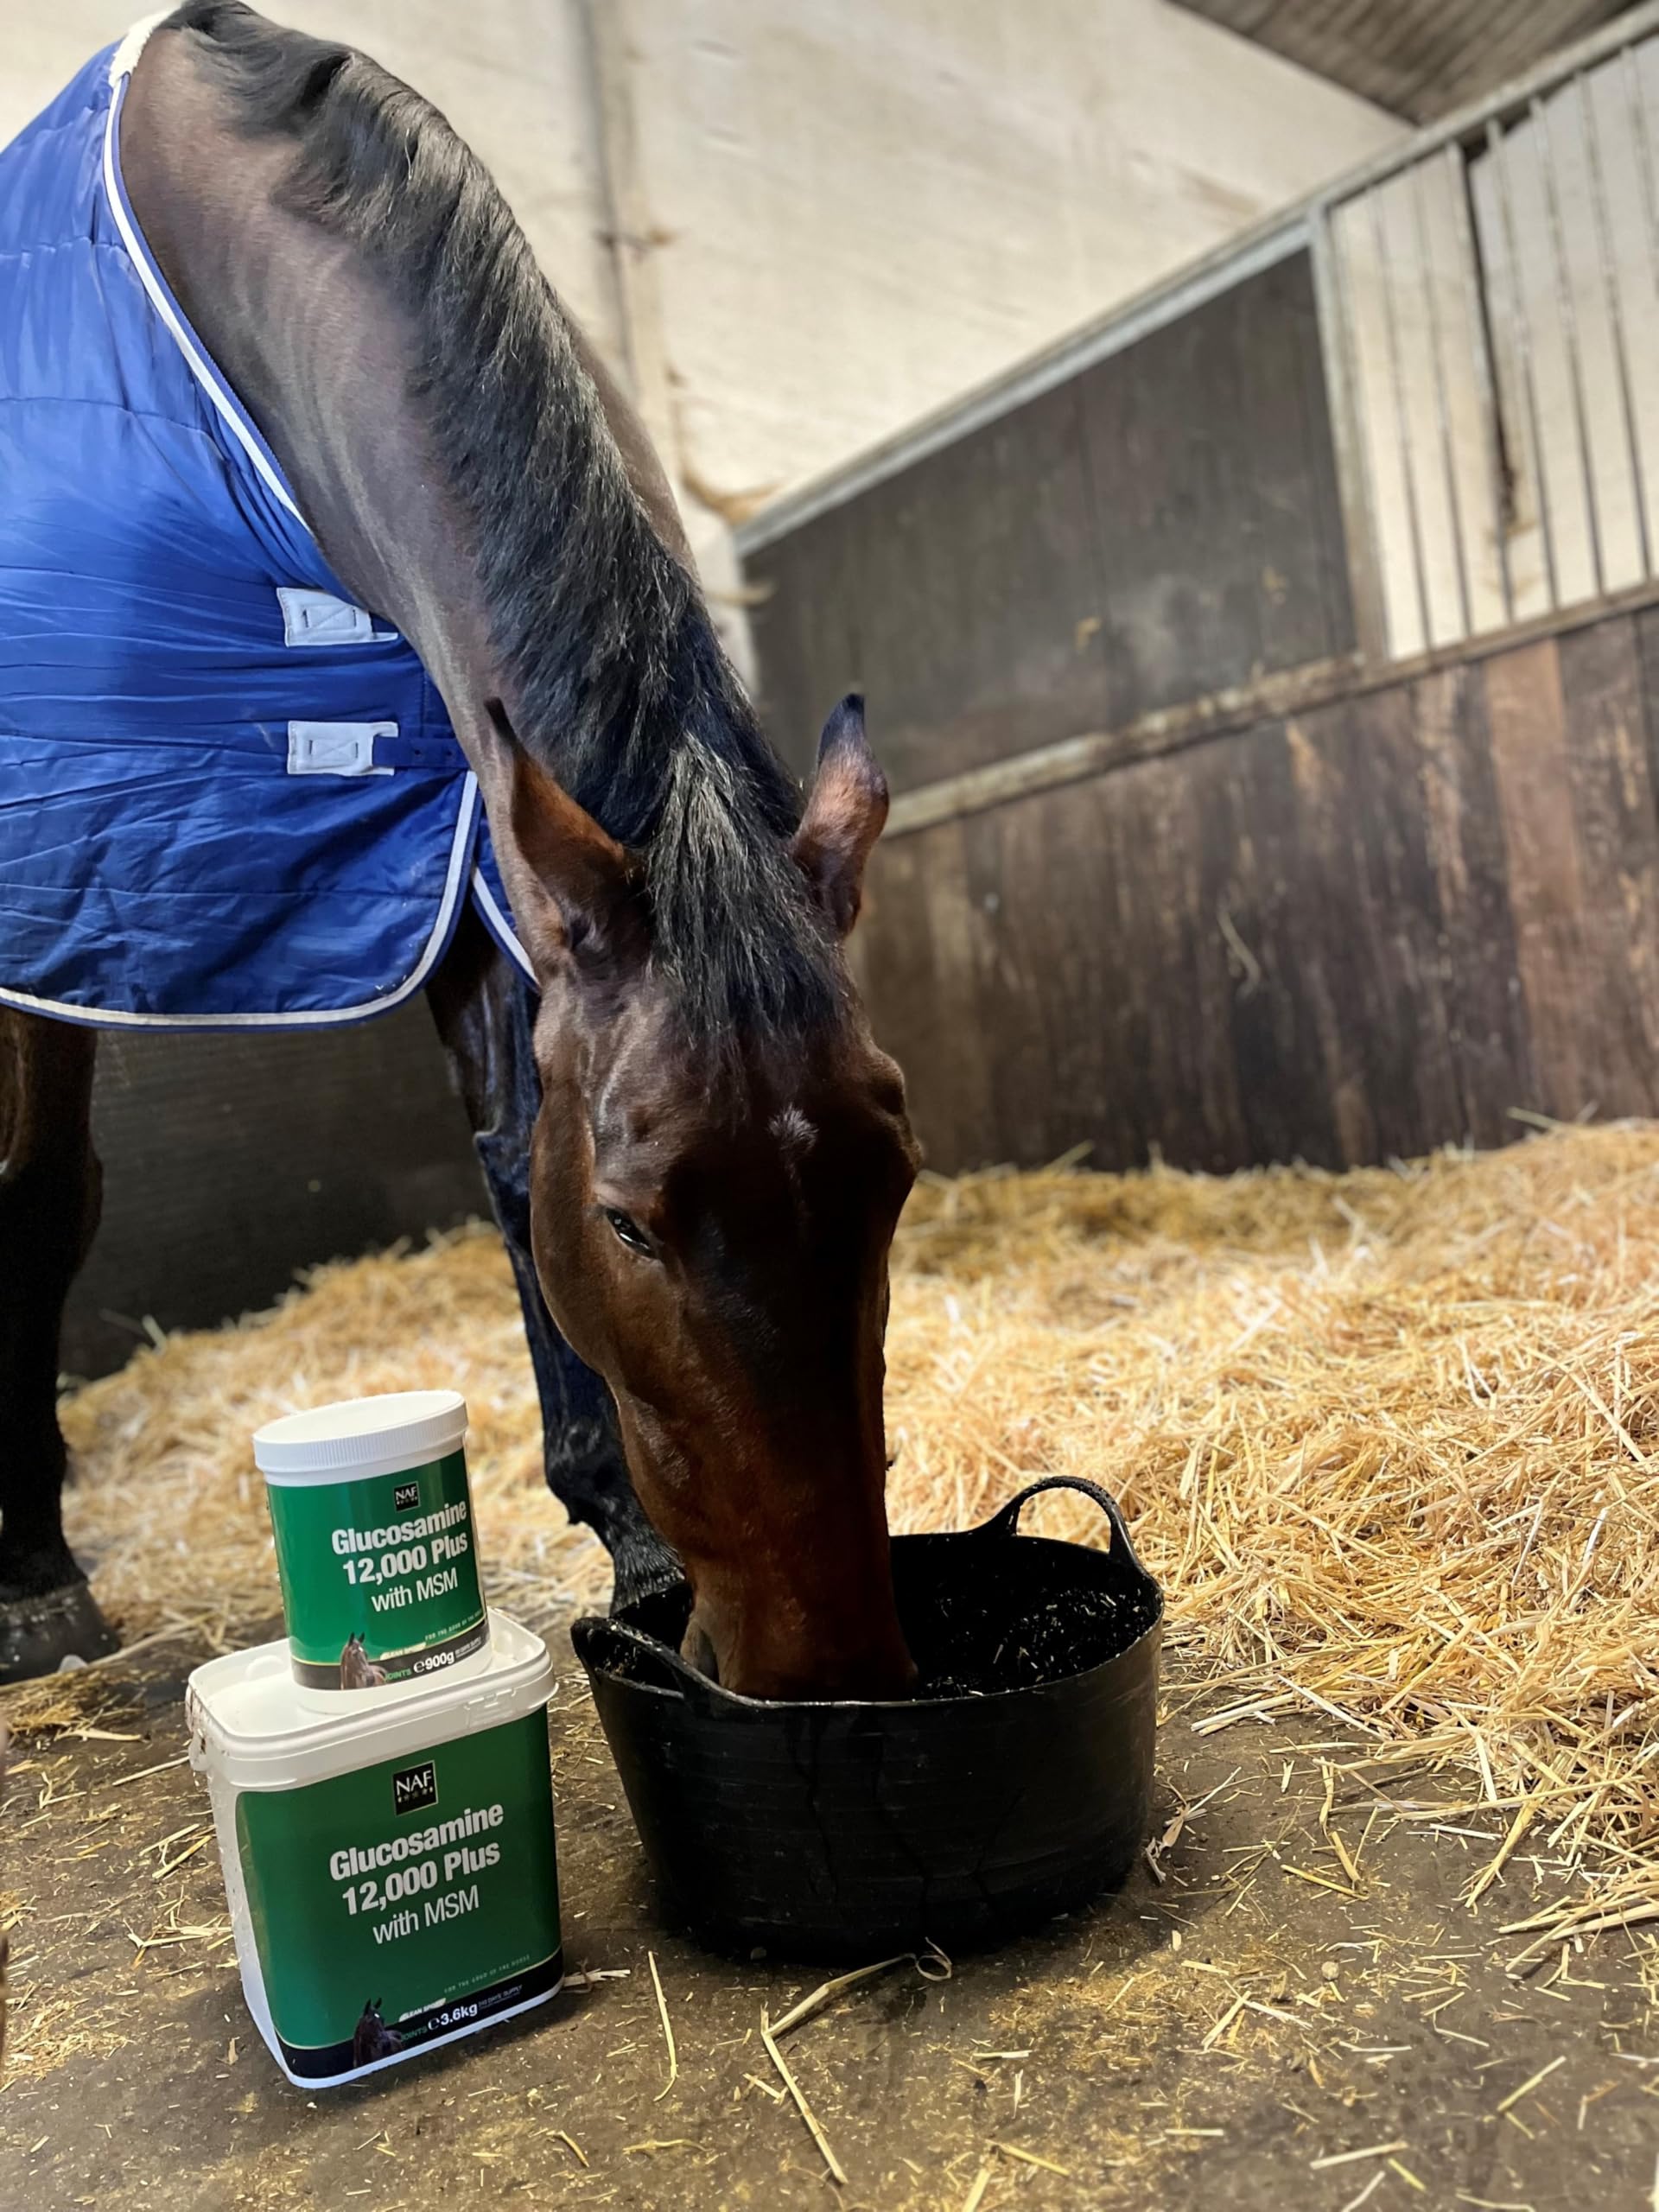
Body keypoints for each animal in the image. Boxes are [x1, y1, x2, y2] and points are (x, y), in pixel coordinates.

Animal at [0, 3, 920, 1700]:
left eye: (895, 1177)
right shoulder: (67, 876)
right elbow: (31, 1197)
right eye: (629, 1222)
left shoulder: (470, 841)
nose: (830, 1673)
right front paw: (33, 1577)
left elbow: (505, 1144)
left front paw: (622, 1538)